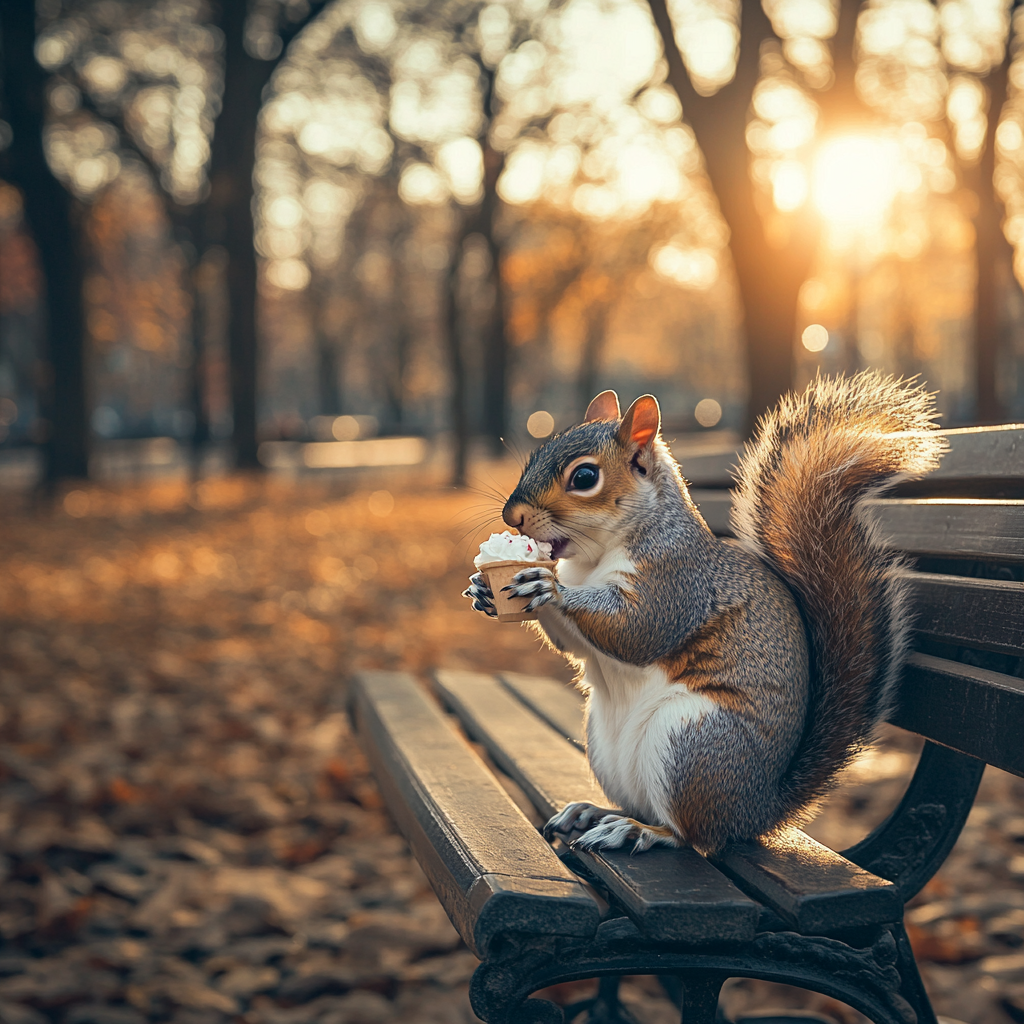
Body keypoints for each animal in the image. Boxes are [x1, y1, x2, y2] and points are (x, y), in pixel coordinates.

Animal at [464, 372, 942, 851]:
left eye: (584, 476)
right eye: (538, 452)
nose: (511, 514)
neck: (592, 560)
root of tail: (756, 811)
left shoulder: (677, 582)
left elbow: (636, 630)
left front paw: (550, 587)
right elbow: (574, 647)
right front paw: (485, 591)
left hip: (690, 744)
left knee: (691, 836)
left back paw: (638, 830)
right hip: (607, 744)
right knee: (647, 806)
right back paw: (594, 811)